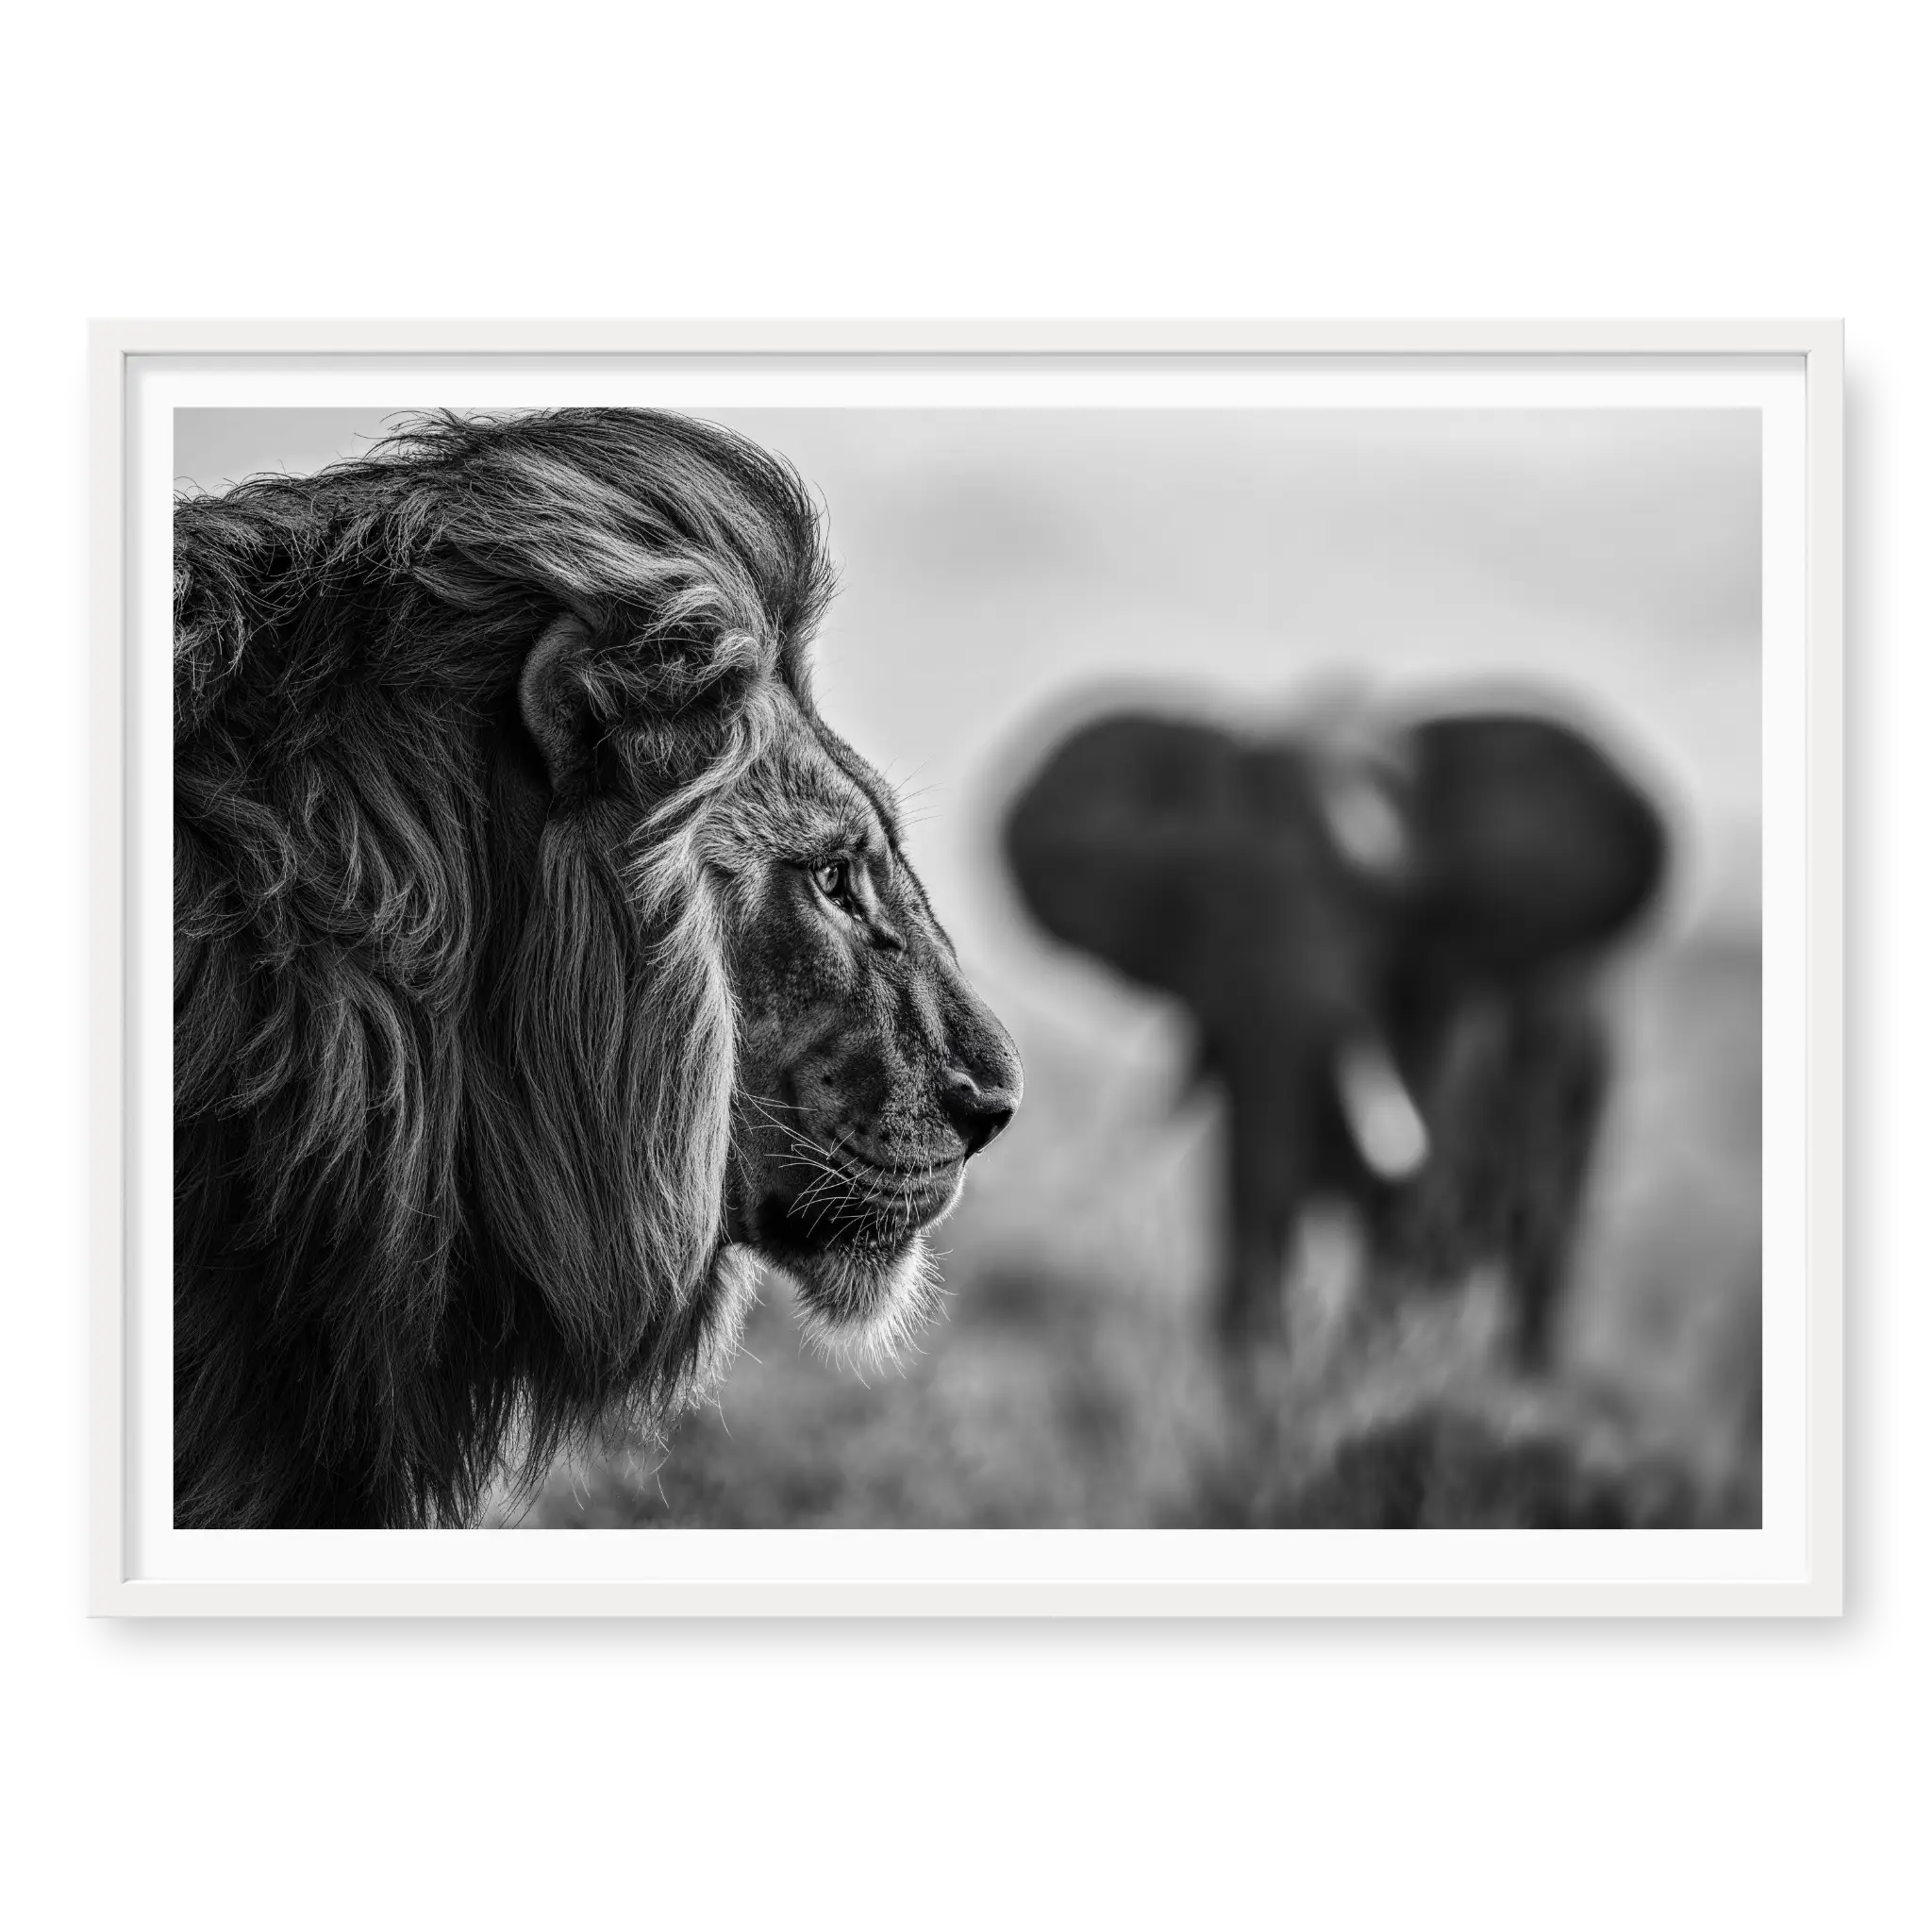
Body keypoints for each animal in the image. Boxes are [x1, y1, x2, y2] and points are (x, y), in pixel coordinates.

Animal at [1001, 689, 1670, 1373]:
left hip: (1586, 1073)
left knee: (1542, 1238)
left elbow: (1407, 1210)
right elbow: (1246, 1181)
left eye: (1385, 907)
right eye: (1199, 894)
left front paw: (1357, 1371)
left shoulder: (1444, 1023)